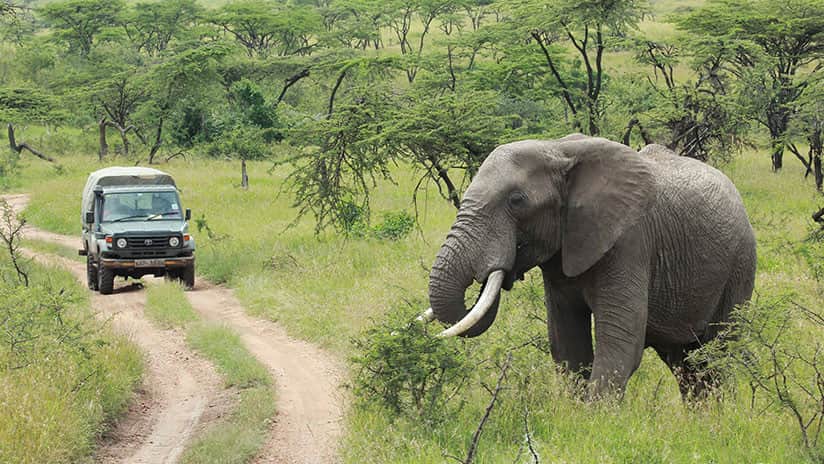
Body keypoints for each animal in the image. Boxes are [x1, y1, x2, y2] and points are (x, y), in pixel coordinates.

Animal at [422, 134, 756, 398]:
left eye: (517, 200)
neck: (557, 148)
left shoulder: (629, 241)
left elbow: (620, 344)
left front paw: (596, 421)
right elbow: (567, 344)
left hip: (740, 266)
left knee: (717, 353)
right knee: (685, 361)